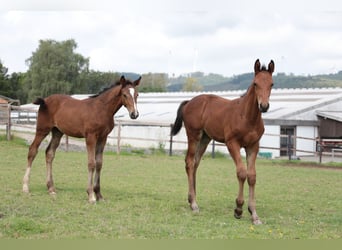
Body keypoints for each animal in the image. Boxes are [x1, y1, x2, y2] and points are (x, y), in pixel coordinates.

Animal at [171, 59, 276, 225]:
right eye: (255, 83)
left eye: (271, 84)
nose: (264, 106)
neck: (247, 117)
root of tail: (189, 102)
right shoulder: (232, 143)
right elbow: (241, 173)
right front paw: (238, 209)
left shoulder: (253, 146)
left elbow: (252, 176)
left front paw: (254, 214)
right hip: (194, 135)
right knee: (189, 162)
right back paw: (194, 204)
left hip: (205, 138)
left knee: (195, 163)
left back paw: (192, 198)